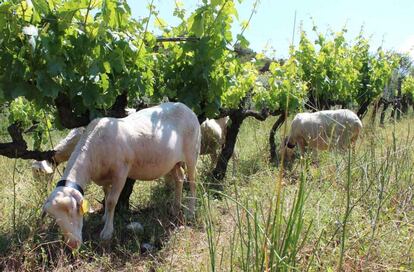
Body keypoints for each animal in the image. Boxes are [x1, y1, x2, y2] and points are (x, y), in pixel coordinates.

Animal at [42, 102, 201, 249]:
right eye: (54, 217)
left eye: (73, 211)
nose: (72, 245)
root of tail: (186, 107)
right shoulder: (104, 176)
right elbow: (106, 195)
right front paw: (105, 218)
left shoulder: (121, 172)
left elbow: (112, 201)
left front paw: (107, 232)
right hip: (173, 161)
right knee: (179, 179)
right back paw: (175, 208)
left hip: (192, 153)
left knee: (193, 182)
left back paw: (190, 212)